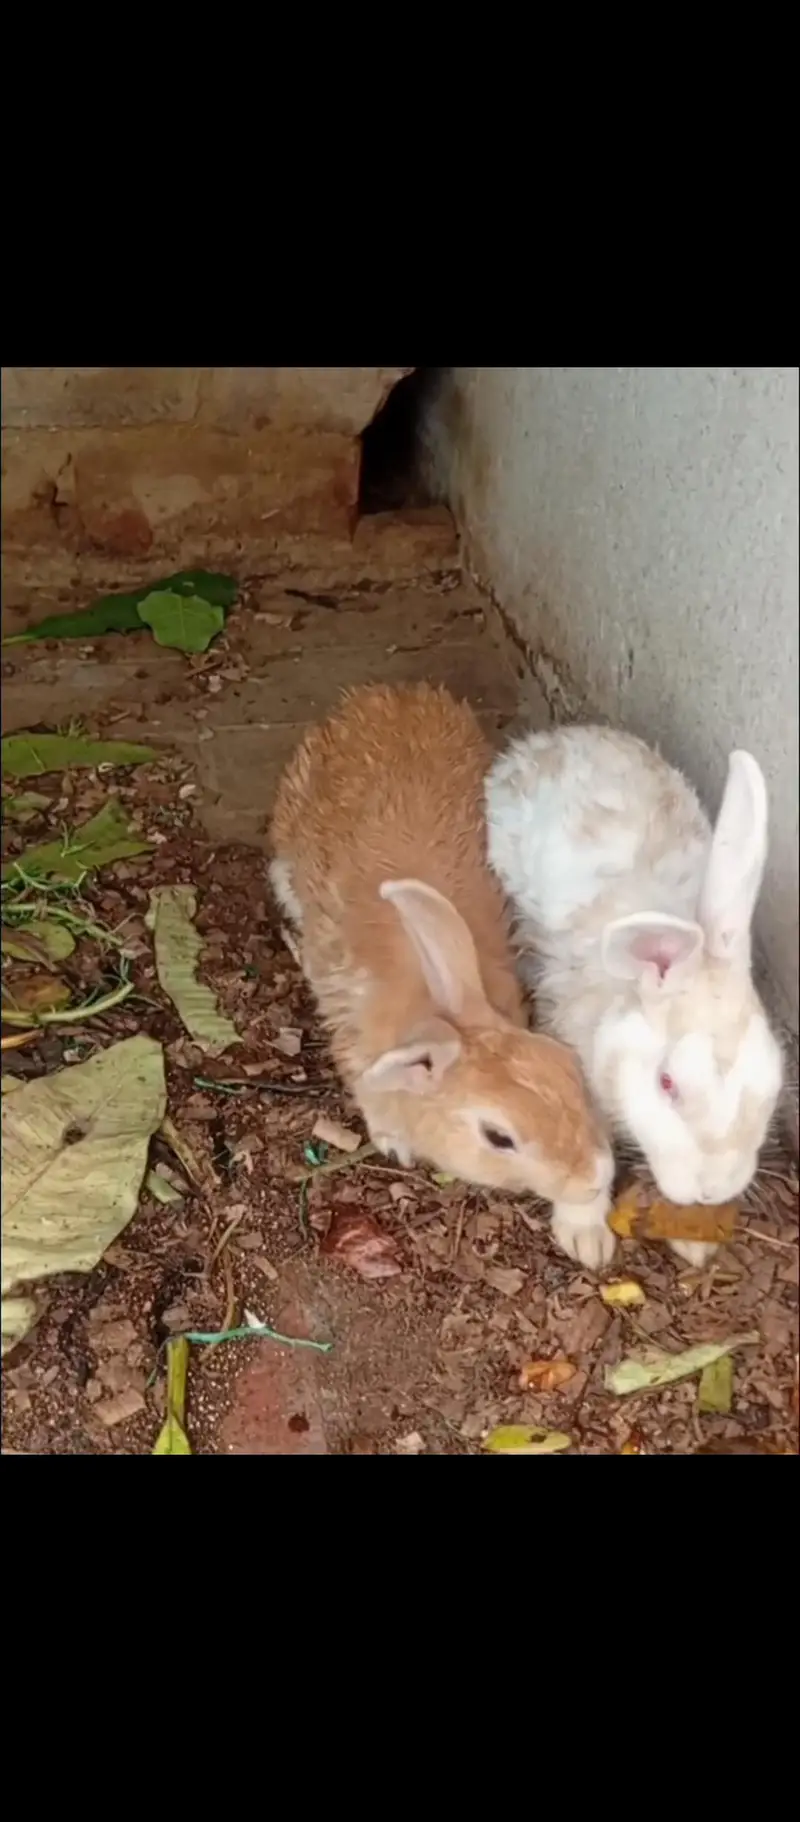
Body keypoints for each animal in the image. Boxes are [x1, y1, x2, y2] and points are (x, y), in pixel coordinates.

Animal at [269, 682, 613, 1214]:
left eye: (568, 1069)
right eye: (498, 1138)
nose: (596, 1179)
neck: (436, 1011)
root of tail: (385, 693)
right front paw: (395, 1144)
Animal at [485, 723, 784, 1271]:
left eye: (772, 1081)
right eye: (666, 1083)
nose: (711, 1190)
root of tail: (558, 736)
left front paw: (694, 1241)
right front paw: (585, 1238)